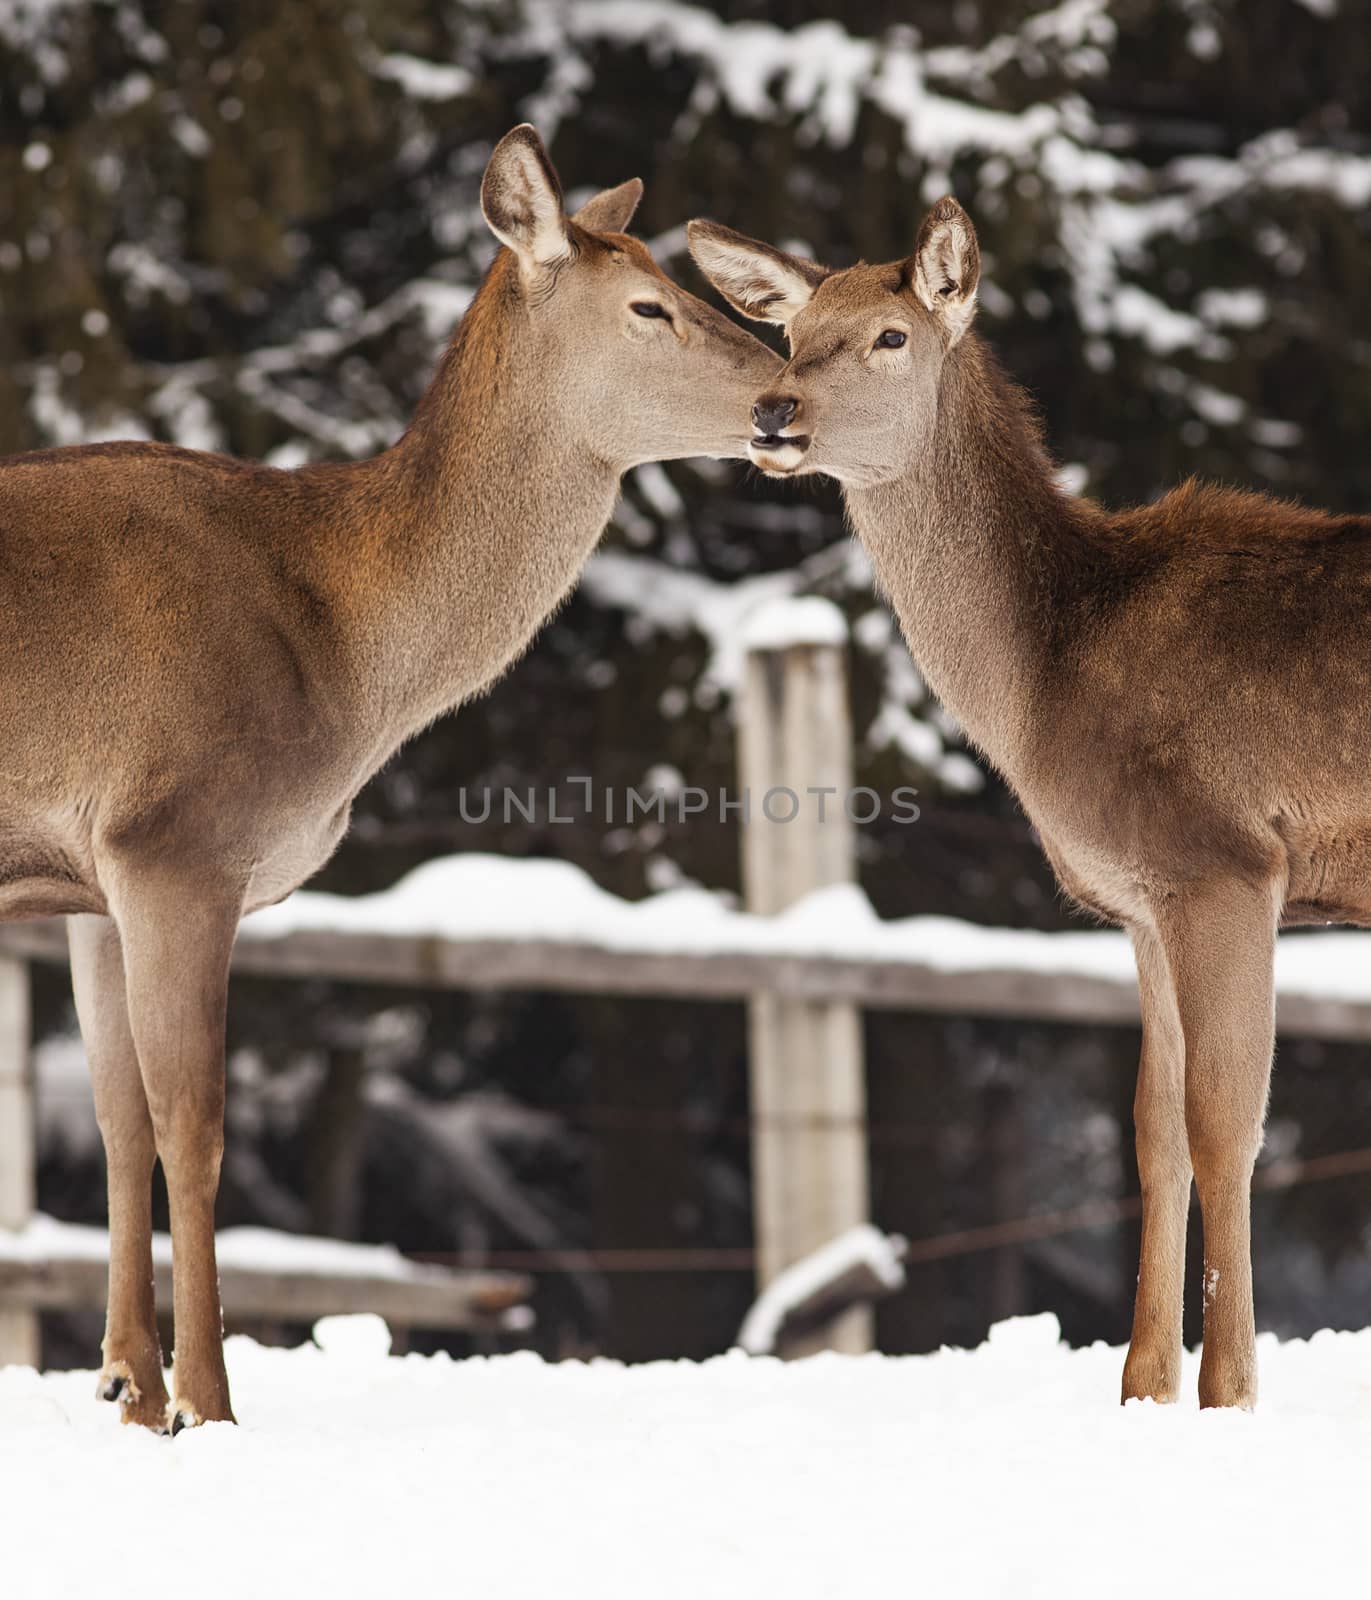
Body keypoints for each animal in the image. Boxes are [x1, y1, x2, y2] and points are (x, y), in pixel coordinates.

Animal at [0, 121, 780, 1427]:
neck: (342, 644)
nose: (784, 399)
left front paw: (129, 1386)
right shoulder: (179, 834)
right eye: (649, 305)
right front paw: (209, 1401)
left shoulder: (93, 879)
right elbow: (193, 1124)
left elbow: (117, 1118)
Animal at [691, 193, 1369, 1408]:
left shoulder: (1227, 861)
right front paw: (1141, 1388)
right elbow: (1153, 1130)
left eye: (891, 335)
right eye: (792, 333)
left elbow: (1224, 1123)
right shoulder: (1141, 900)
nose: (772, 411)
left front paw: (1228, 1390)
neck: (1050, 676)